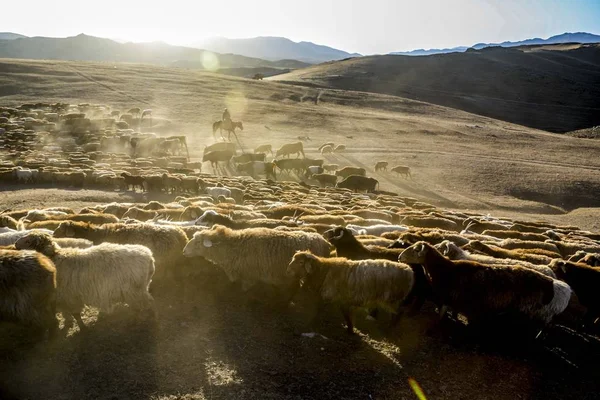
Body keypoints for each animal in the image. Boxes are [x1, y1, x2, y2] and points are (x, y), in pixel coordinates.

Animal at [288, 252, 418, 332]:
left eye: (300, 262)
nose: (287, 271)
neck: (322, 271)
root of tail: (409, 271)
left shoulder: (329, 296)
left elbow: (320, 311)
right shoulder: (343, 300)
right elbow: (347, 315)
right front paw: (350, 329)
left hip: (392, 299)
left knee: (399, 313)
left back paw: (391, 328)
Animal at [398, 242, 572, 332]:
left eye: (414, 249)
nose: (399, 257)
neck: (445, 268)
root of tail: (558, 285)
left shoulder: (448, 297)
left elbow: (442, 314)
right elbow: (452, 312)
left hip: (539, 314)